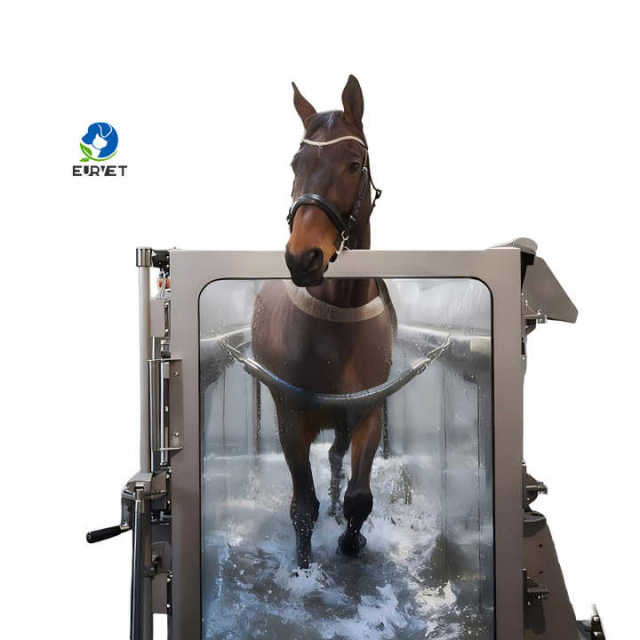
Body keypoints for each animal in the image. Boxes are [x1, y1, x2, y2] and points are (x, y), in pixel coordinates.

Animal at [251, 75, 394, 569]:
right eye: (297, 163)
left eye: (353, 164)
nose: (303, 256)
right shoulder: (290, 419)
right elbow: (302, 506)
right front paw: (304, 565)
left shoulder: (368, 411)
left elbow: (359, 496)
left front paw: (351, 540)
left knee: (334, 459)